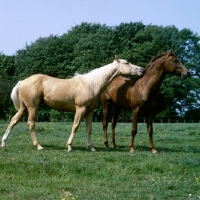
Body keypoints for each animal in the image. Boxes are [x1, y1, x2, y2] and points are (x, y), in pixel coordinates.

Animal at [0, 55, 143, 151]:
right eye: (127, 62)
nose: (141, 69)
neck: (91, 84)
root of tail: (22, 82)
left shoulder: (89, 111)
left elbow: (89, 129)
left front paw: (91, 147)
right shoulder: (80, 109)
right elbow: (75, 126)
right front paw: (69, 146)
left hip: (24, 108)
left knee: (13, 121)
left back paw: (3, 143)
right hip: (32, 108)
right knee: (31, 124)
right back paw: (39, 146)